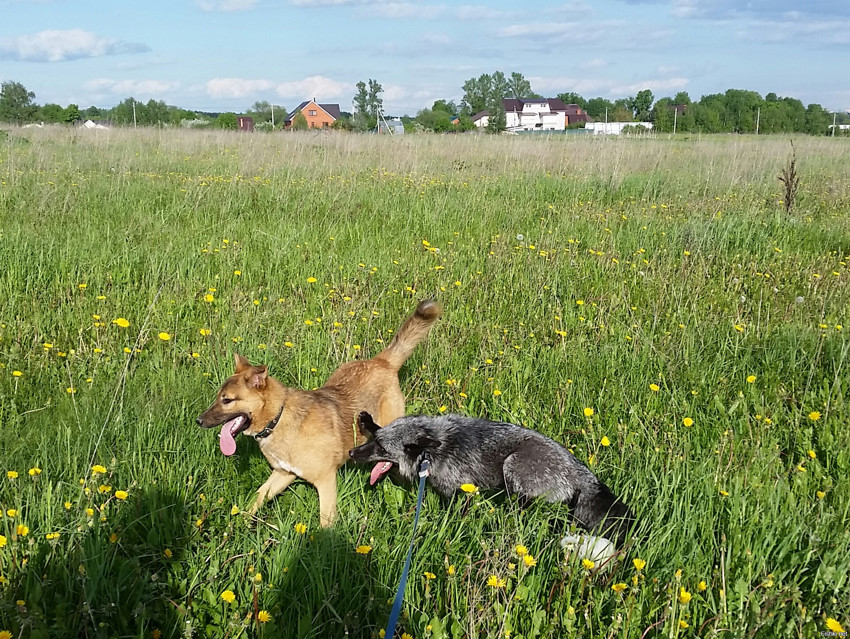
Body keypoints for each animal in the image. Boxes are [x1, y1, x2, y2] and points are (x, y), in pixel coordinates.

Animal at [196, 302, 440, 528]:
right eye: (218, 397)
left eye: (227, 400)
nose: (199, 421)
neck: (279, 418)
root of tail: (381, 361)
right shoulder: (283, 474)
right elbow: (255, 499)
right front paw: (238, 524)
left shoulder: (326, 482)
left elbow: (325, 526)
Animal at [348, 412, 632, 548]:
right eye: (375, 441)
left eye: (381, 447)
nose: (351, 453)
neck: (434, 448)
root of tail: (583, 474)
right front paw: (367, 421)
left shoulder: (460, 490)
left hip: (512, 465)